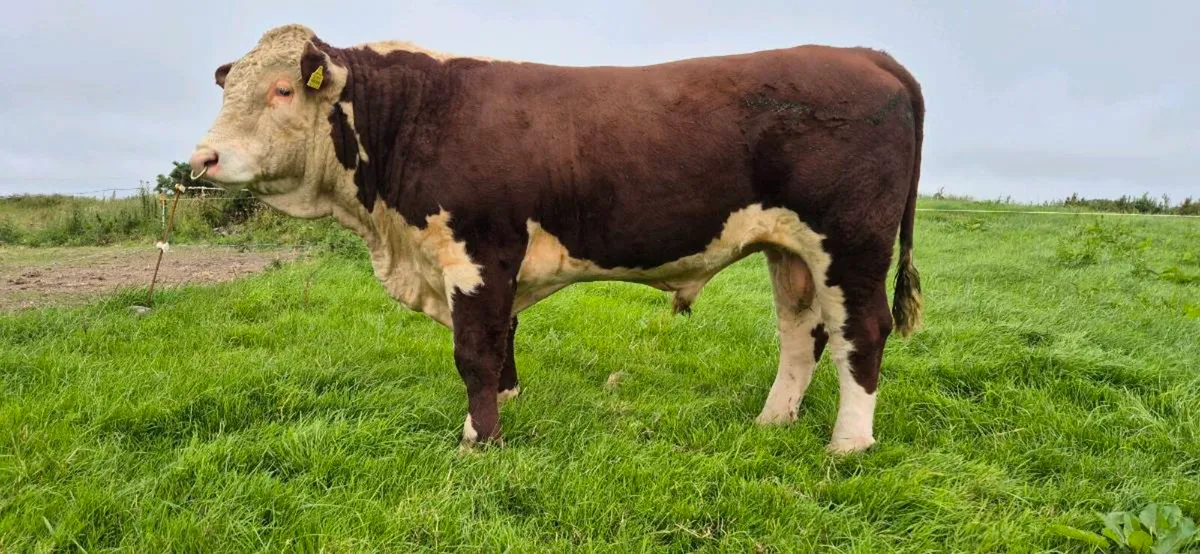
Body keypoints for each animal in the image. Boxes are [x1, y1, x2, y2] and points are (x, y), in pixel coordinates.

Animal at [189, 24, 924, 454]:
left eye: (283, 90)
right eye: (232, 88)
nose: (204, 159)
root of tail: (865, 54)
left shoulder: (478, 250)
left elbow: (474, 352)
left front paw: (479, 439)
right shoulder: (494, 265)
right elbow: (502, 341)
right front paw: (508, 405)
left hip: (851, 242)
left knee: (862, 330)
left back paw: (848, 444)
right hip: (790, 249)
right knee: (802, 332)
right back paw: (773, 421)